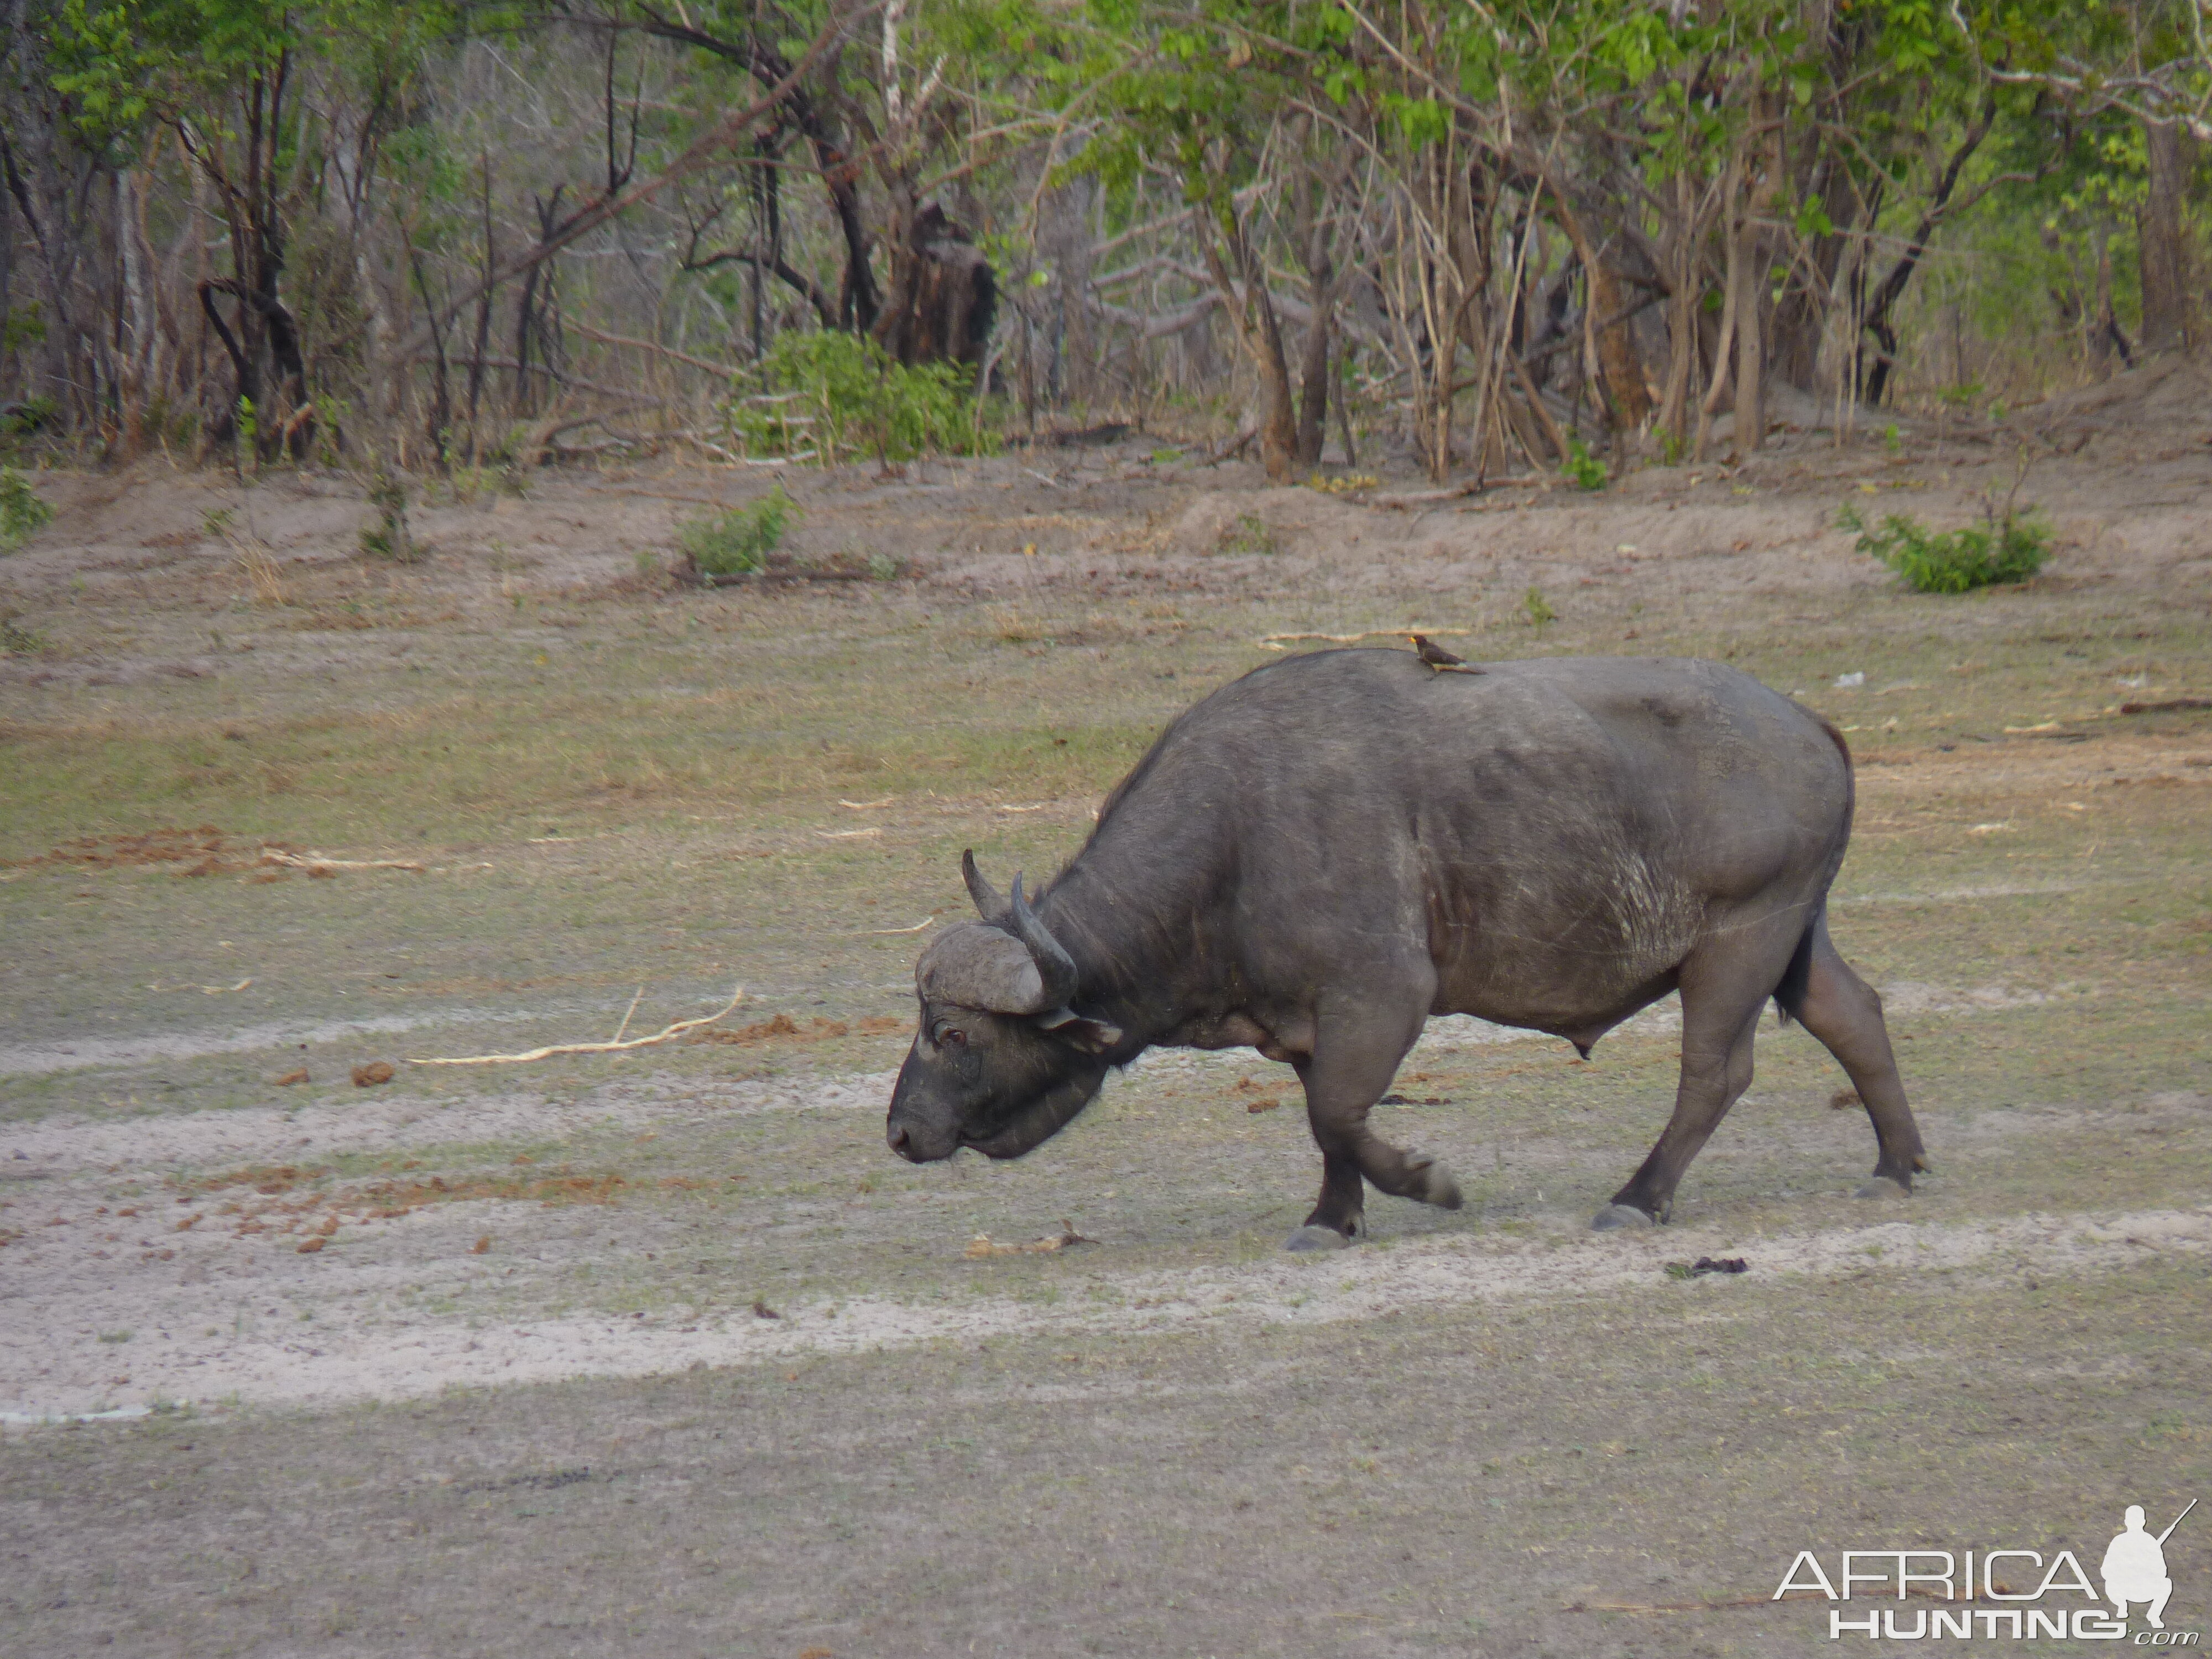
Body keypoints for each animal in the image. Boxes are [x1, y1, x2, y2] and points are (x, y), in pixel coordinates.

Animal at [880, 650, 1920, 1248]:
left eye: (954, 1035)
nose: (900, 1134)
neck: (1236, 839)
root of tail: (1809, 724)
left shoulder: (1383, 995)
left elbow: (1339, 1115)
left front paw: (1427, 1182)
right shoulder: (1311, 1021)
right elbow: (1324, 1120)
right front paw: (1330, 1219)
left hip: (1738, 943)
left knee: (1715, 1072)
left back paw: (1639, 1195)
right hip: (1796, 935)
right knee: (1854, 1014)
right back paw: (1896, 1166)